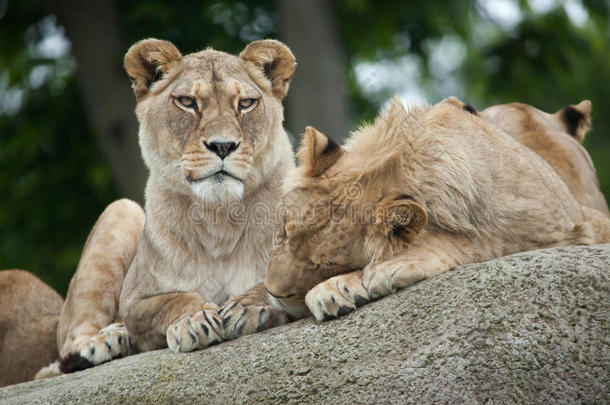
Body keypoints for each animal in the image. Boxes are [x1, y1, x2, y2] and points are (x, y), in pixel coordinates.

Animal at [220, 95, 608, 326]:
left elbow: (477, 241)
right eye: (283, 231)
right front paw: (252, 303)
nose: (275, 292)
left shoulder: (565, 227)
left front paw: (374, 272)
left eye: (325, 264)